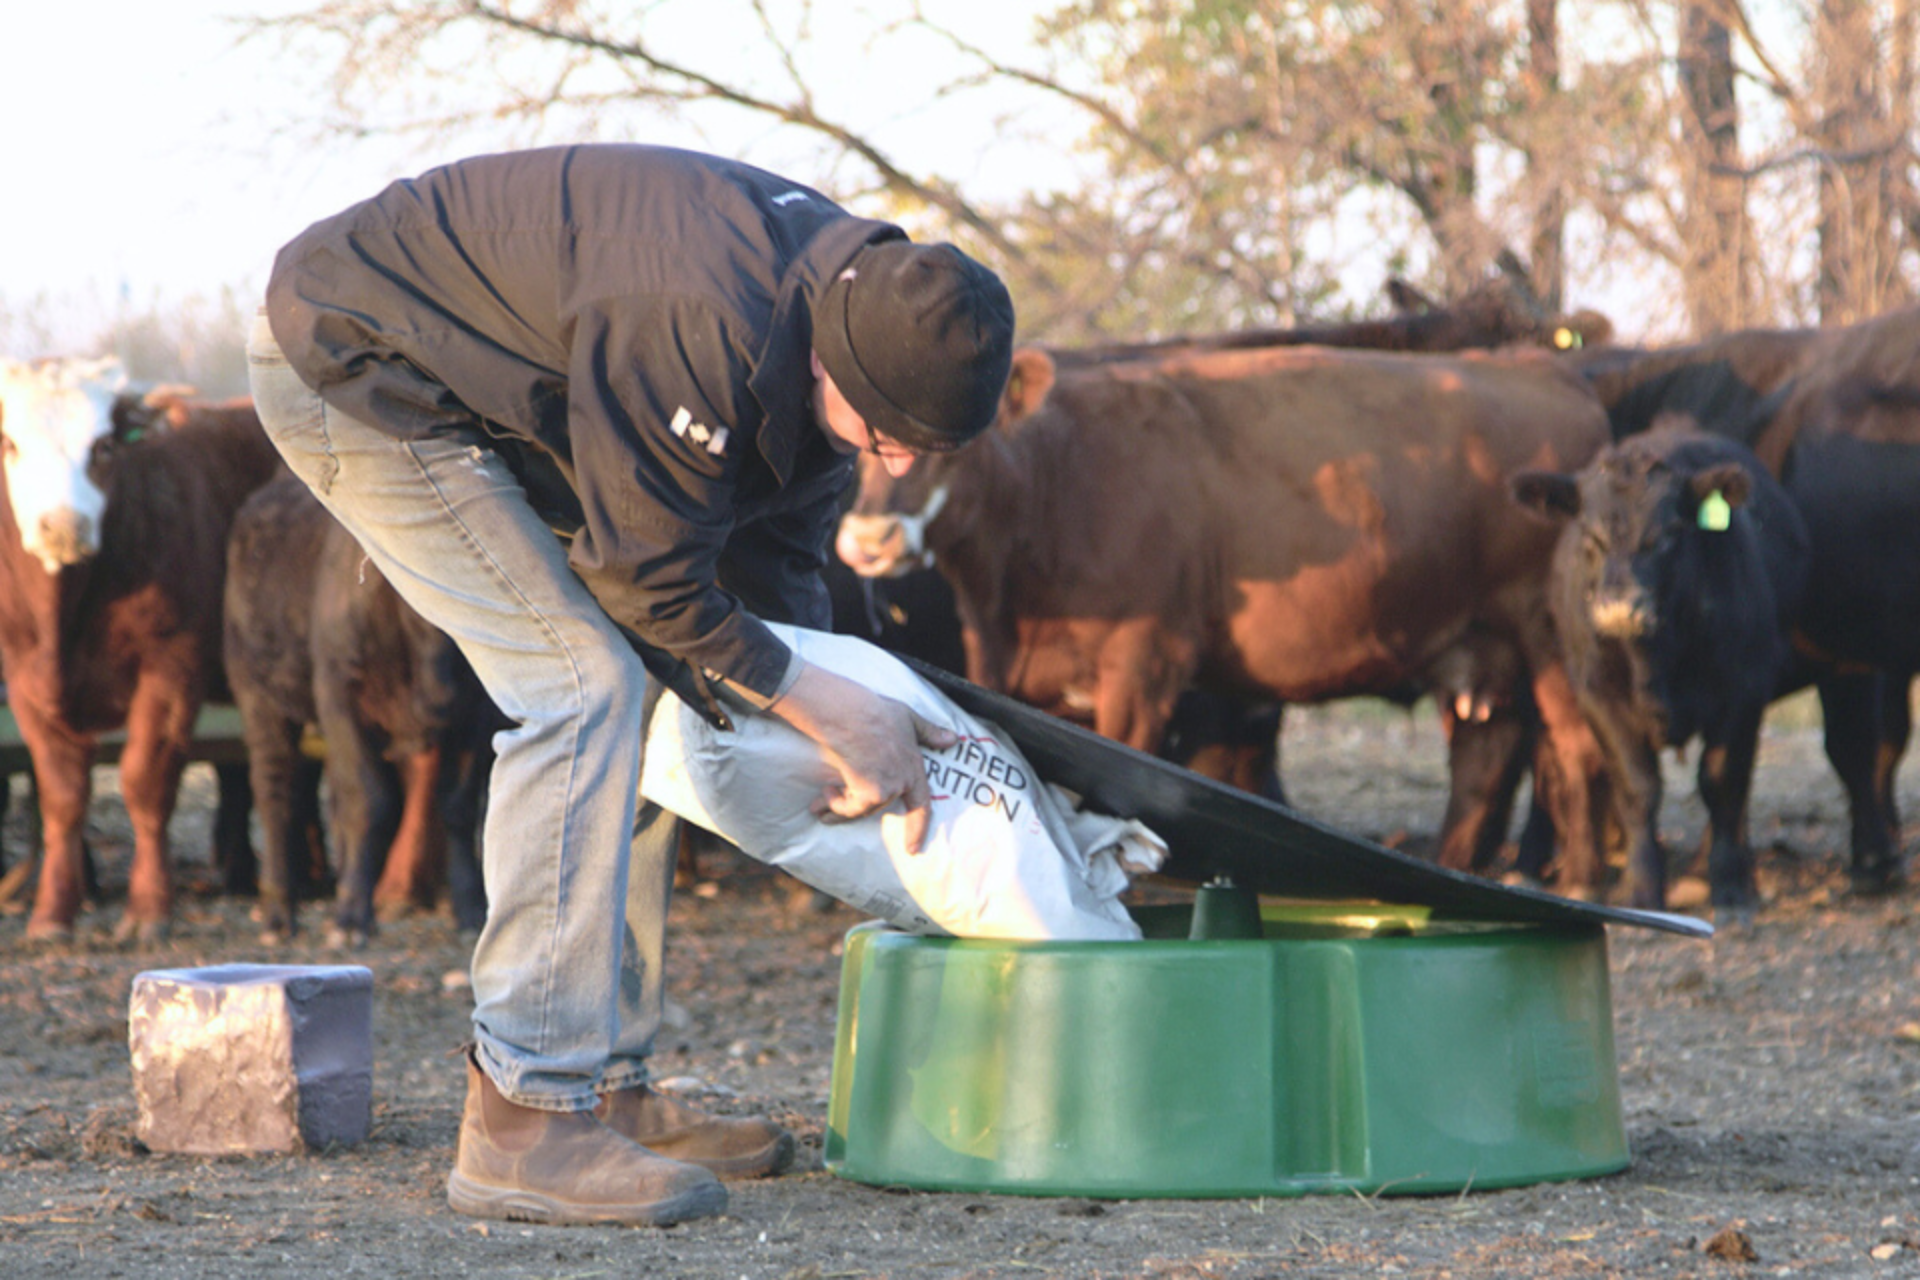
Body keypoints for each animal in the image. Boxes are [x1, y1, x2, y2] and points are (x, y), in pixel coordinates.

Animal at [0, 360, 280, 940]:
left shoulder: (172, 667)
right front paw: (52, 912)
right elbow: (62, 797)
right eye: (11, 443)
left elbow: (145, 782)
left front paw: (150, 909)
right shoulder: (23, 680)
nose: (64, 526)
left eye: (103, 445)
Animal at [840, 345, 1620, 898]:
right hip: (1478, 643)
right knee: (1487, 760)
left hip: (1550, 635)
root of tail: (1543, 368)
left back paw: (1579, 878)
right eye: (859, 442)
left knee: (1574, 749)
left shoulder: (1143, 661)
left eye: (957, 441)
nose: (869, 539)